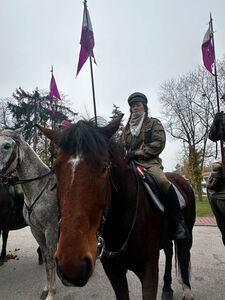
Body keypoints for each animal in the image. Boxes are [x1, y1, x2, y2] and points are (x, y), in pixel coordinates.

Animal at [0, 127, 59, 300]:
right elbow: (46, 257)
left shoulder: (50, 229)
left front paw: (51, 293)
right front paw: (47, 287)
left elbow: (50, 258)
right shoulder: (36, 230)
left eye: (7, 145)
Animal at [38, 117, 195, 300]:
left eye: (104, 168)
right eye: (55, 169)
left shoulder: (149, 269)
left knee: (184, 255)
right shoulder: (113, 271)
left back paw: (187, 290)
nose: (71, 265)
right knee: (170, 252)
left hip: (187, 235)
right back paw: (168, 288)